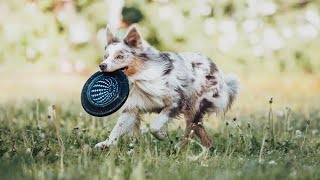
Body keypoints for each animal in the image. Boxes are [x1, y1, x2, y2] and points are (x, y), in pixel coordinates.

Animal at [95, 25, 240, 149]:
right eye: (105, 57)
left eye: (119, 56)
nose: (102, 65)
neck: (138, 79)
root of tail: (218, 71)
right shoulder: (131, 109)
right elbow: (117, 128)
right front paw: (106, 144)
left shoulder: (176, 102)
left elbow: (154, 126)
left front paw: (161, 135)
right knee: (201, 135)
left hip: (195, 106)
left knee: (192, 129)